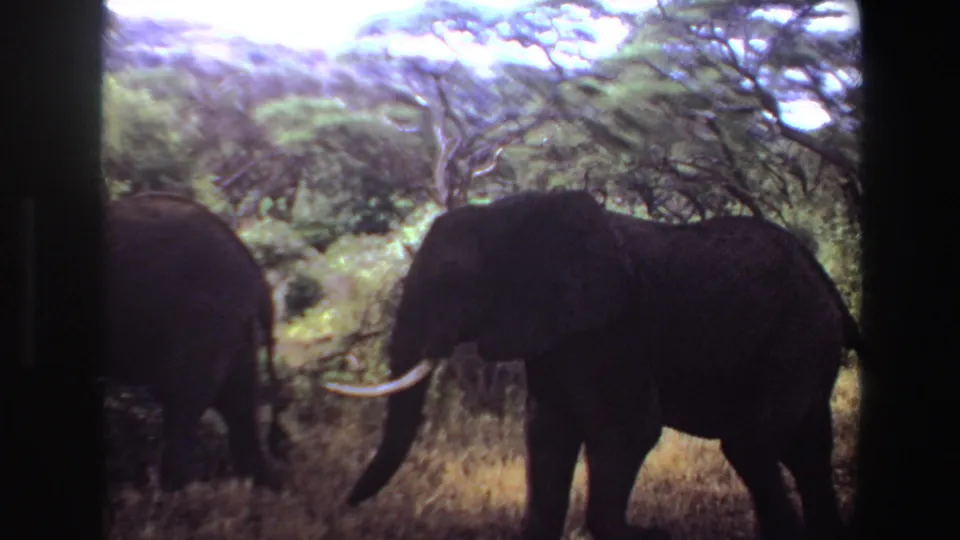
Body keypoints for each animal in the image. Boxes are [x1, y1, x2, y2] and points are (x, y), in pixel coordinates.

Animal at [321, 190, 862, 540]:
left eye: (454, 282)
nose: (347, 504)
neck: (514, 212)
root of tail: (822, 275)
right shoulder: (556, 336)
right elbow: (547, 432)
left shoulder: (610, 328)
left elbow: (626, 428)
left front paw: (647, 534)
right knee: (806, 448)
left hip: (797, 336)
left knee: (752, 446)